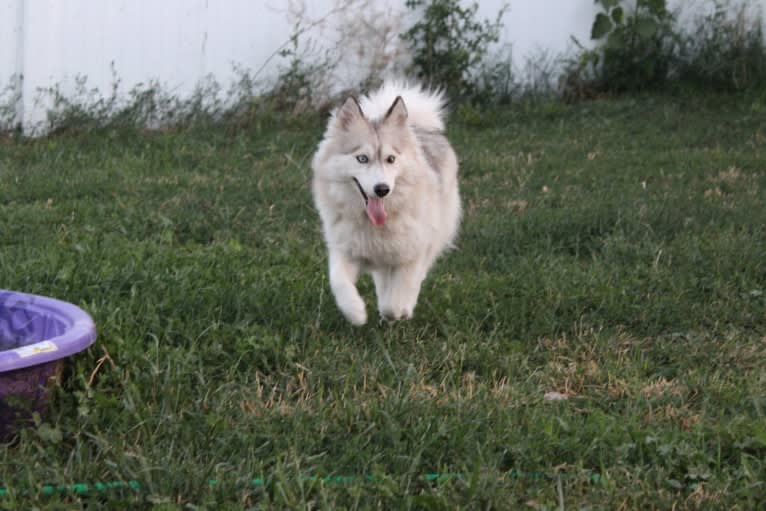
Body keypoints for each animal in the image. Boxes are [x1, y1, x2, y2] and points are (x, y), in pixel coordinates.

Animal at [312, 82, 462, 326]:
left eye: (391, 159)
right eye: (362, 158)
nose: (382, 189)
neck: (374, 225)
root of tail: (418, 127)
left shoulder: (412, 254)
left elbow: (398, 298)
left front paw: (400, 310)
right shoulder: (346, 251)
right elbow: (339, 282)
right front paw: (355, 312)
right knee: (382, 280)